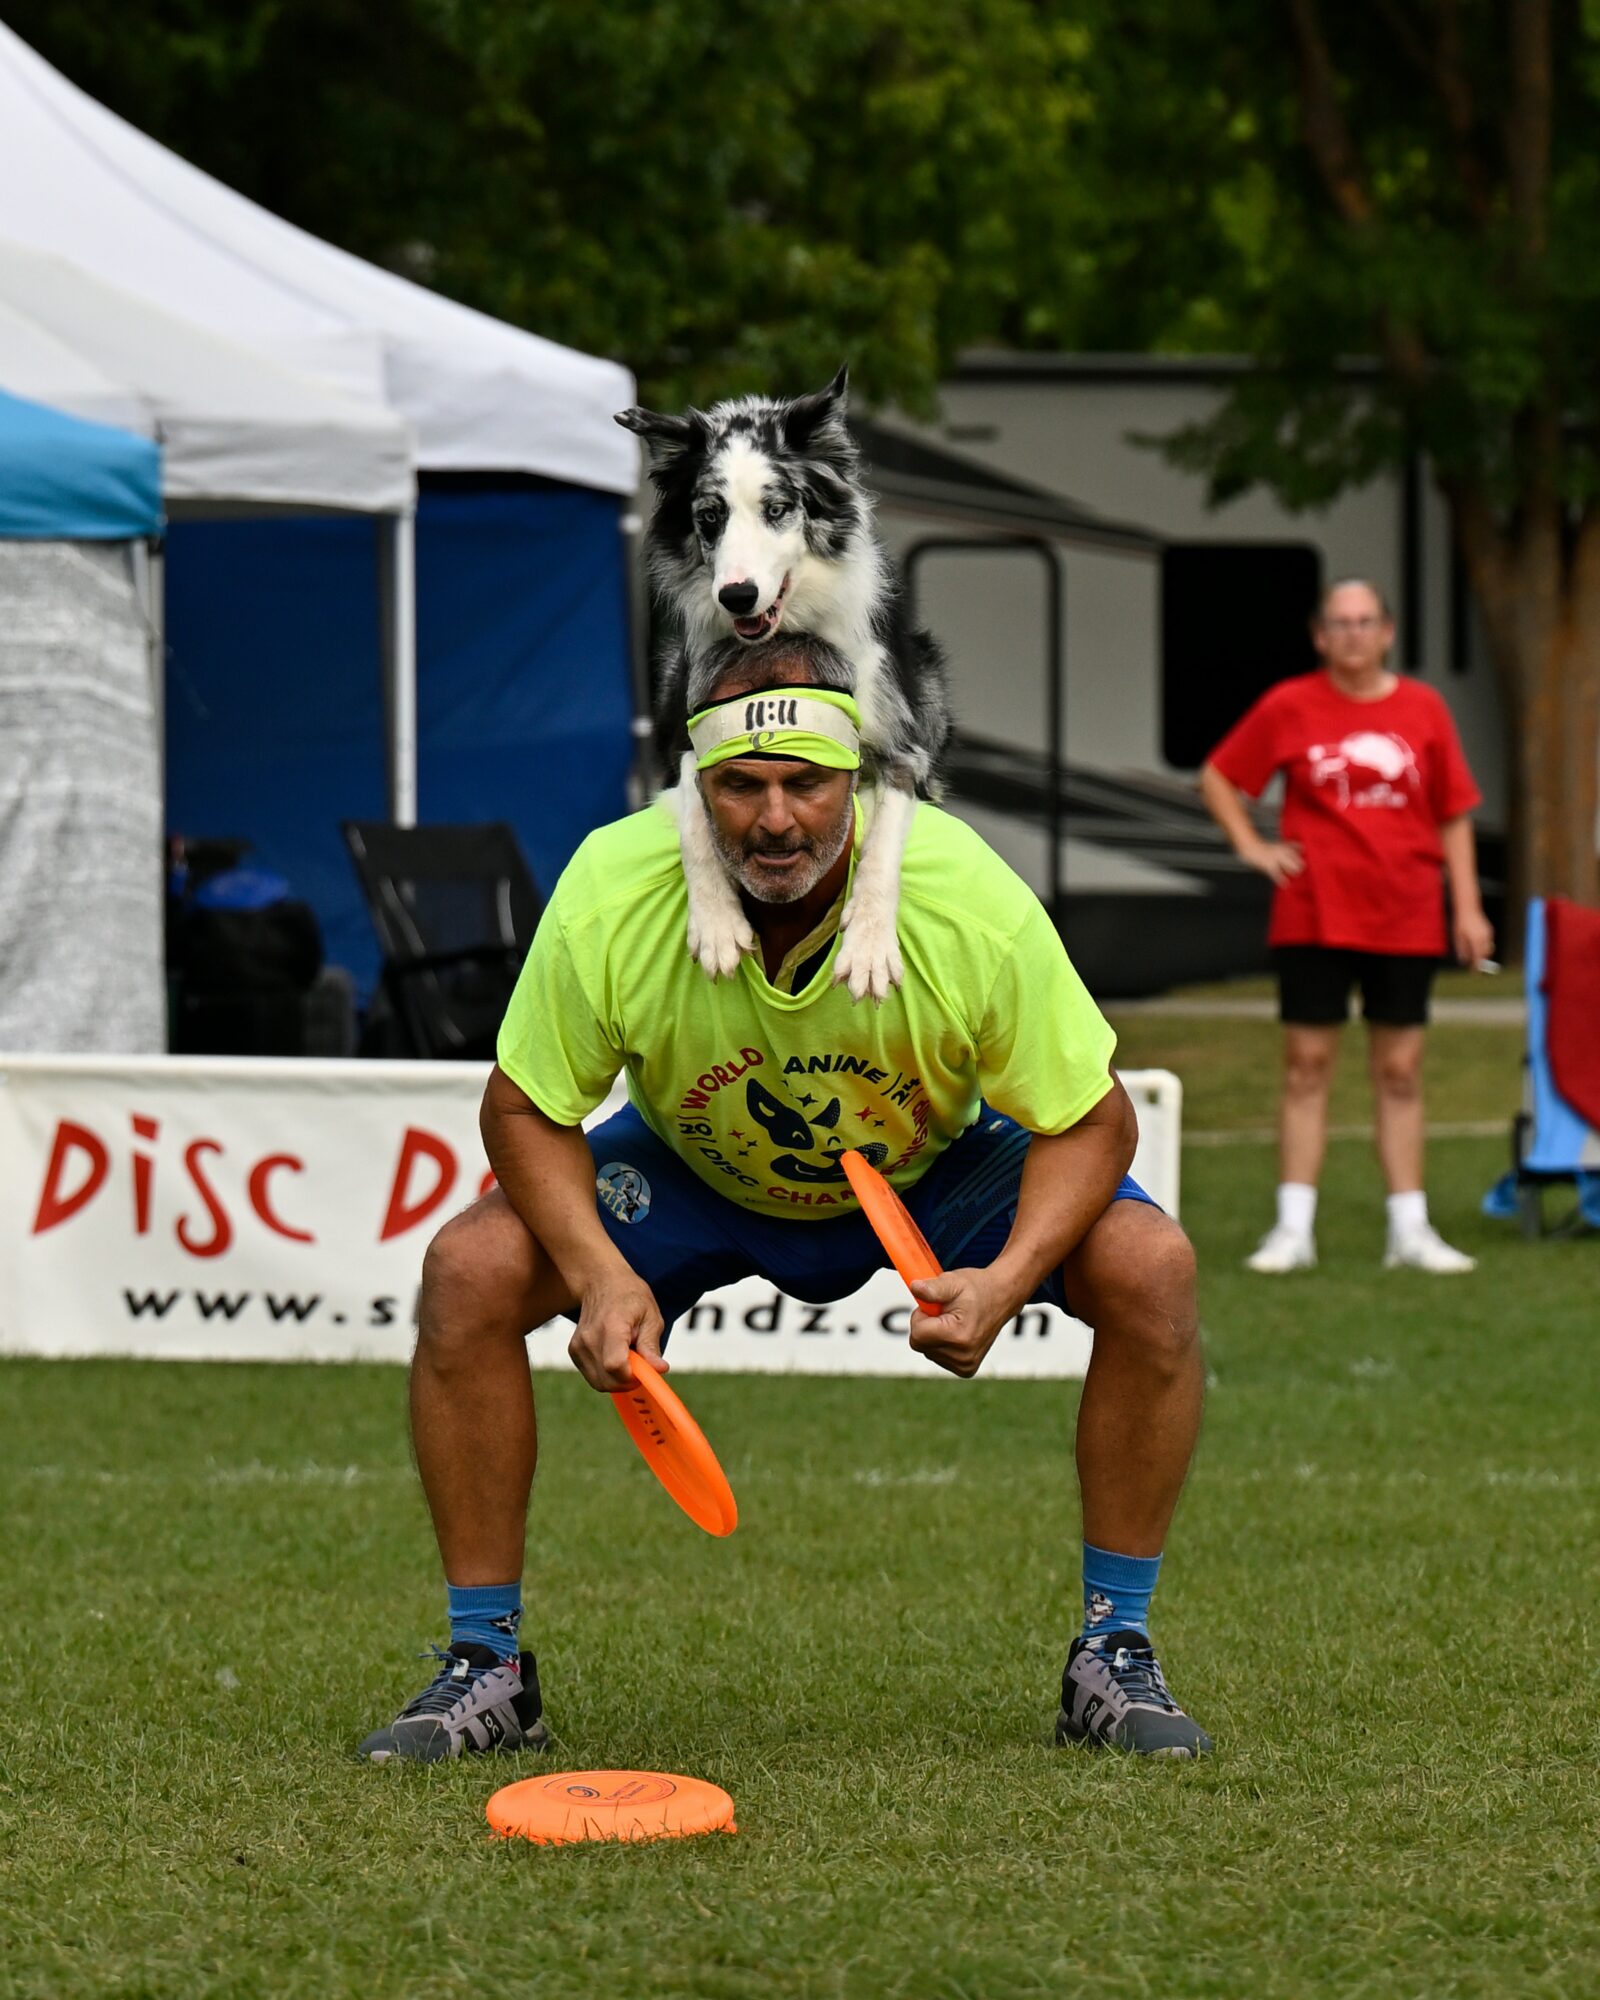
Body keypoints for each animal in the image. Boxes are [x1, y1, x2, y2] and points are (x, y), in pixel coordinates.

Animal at [615, 367, 951, 1002]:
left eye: (777, 509)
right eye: (710, 516)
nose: (737, 595)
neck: (784, 631)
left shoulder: (906, 751)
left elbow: (882, 846)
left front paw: (868, 945)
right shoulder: (684, 740)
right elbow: (696, 814)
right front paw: (717, 924)